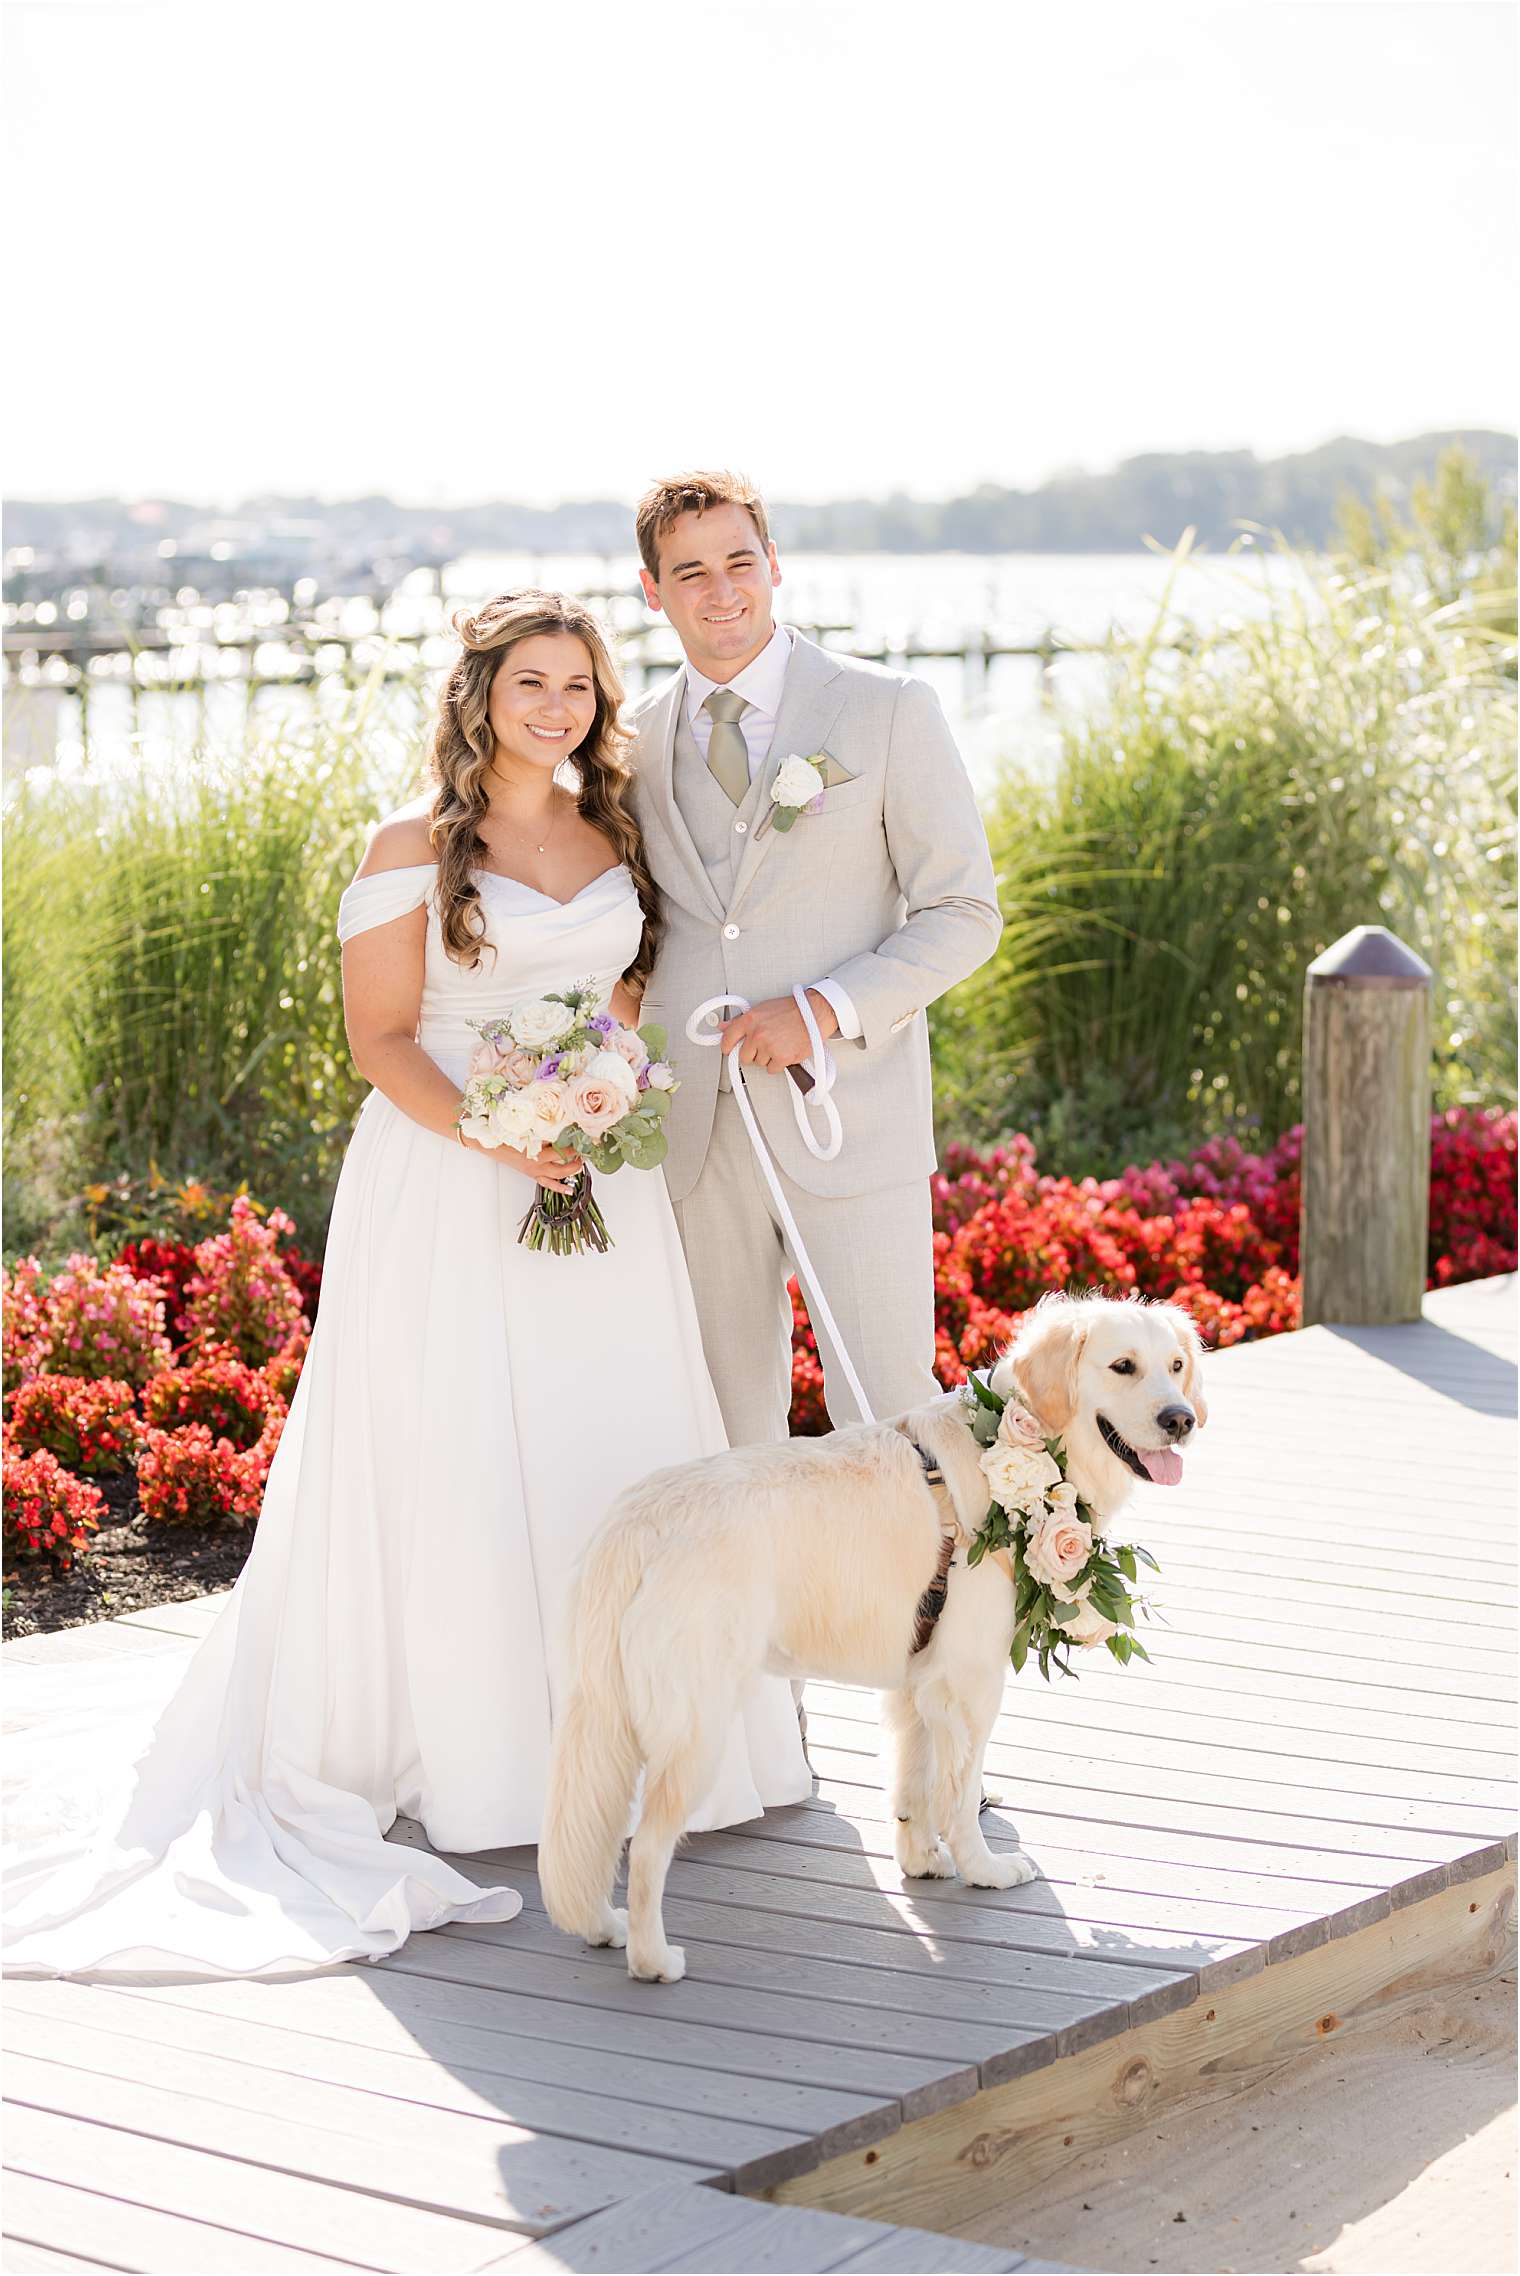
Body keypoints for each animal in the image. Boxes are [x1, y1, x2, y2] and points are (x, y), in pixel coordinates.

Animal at [539, 1292, 1201, 1984]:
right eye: (1123, 1366)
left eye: (1176, 1366)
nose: (1181, 1420)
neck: (1013, 1449)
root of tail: (638, 1518)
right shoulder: (969, 1682)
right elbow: (958, 1789)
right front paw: (983, 1869)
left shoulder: (920, 1682)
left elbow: (915, 1779)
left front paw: (921, 1859)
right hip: (694, 1726)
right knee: (644, 1848)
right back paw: (651, 1958)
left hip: (605, 1718)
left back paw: (603, 1926)